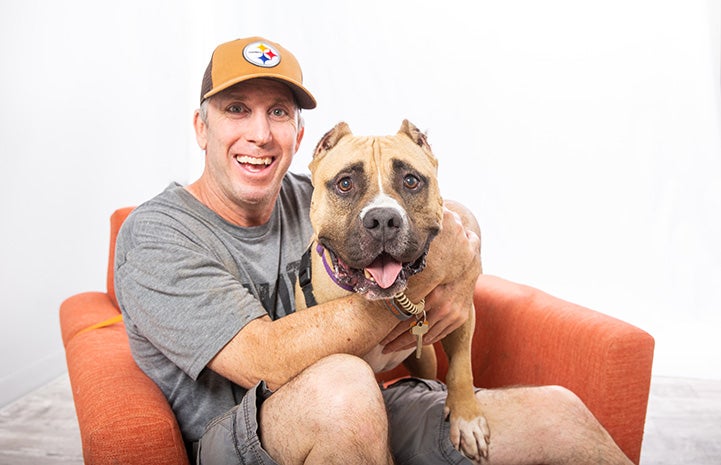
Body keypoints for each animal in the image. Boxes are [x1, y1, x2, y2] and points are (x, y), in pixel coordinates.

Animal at [296, 118, 492, 460]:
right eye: (344, 184)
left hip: (425, 360)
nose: (383, 219)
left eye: (411, 180)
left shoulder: (461, 311)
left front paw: (467, 418)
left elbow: (461, 368)